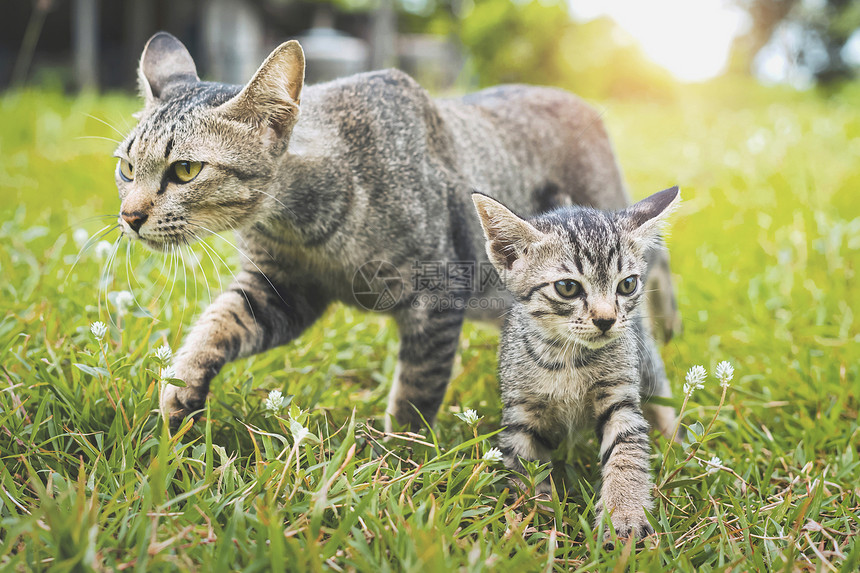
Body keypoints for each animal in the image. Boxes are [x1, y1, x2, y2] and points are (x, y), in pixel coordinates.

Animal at [470, 185, 680, 540]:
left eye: (627, 284)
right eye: (567, 287)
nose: (606, 320)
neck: (567, 359)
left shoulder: (620, 400)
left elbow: (626, 454)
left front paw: (624, 516)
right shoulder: (521, 413)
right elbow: (525, 466)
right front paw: (532, 520)